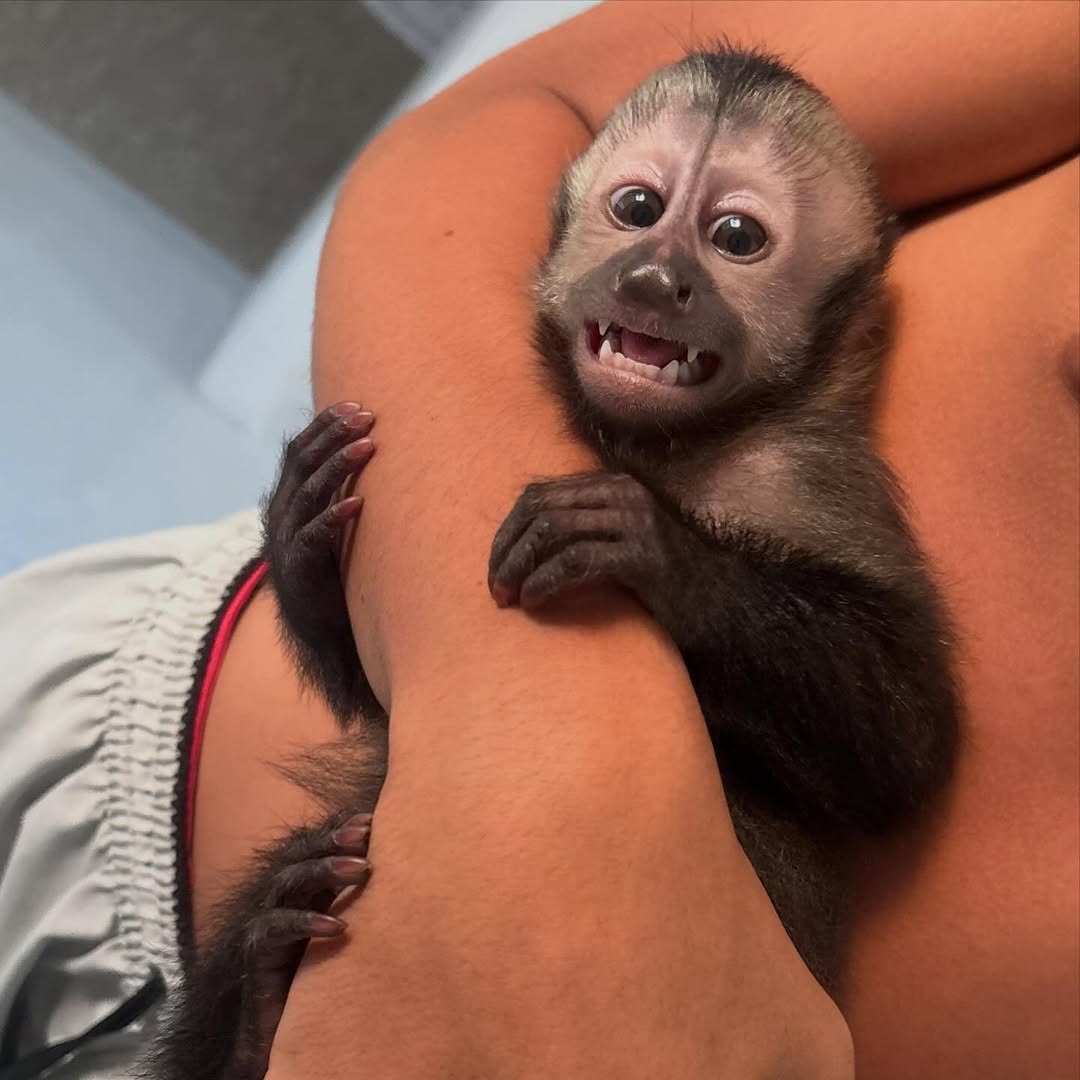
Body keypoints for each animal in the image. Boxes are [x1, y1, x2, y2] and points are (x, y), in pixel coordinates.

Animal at [143, 46, 960, 1078]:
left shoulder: (812, 470)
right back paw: (259, 991)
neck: (666, 445)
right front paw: (297, 540)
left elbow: (905, 753)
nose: (652, 279)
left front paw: (649, 545)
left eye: (734, 236)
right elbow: (381, 704)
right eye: (640, 209)